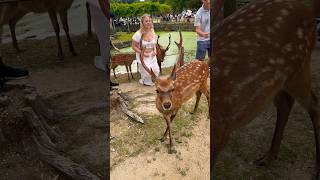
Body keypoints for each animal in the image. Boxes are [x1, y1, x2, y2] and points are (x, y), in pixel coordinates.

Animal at [211, 0, 320, 179]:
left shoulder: (219, 131)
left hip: (299, 66)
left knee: (314, 104)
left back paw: (316, 171)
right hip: (276, 83)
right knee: (286, 103)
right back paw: (268, 157)